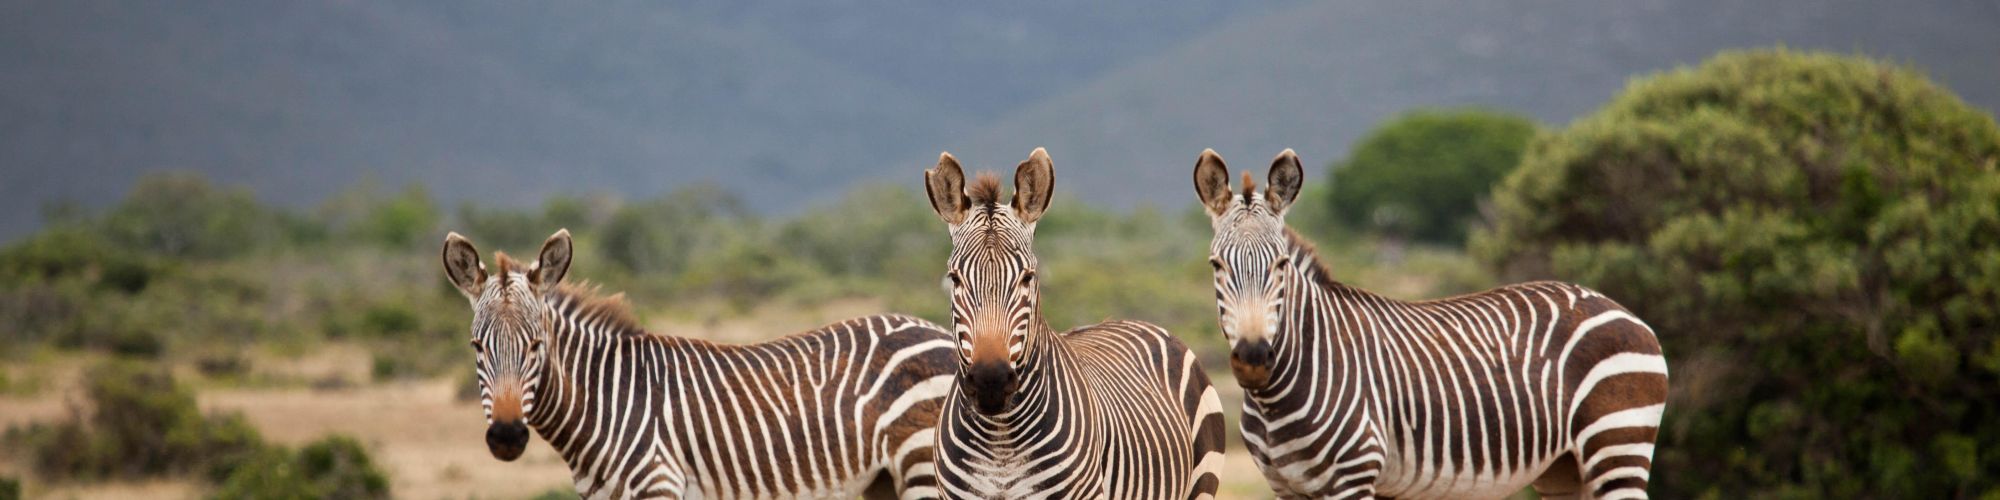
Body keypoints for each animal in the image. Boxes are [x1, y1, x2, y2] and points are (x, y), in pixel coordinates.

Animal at [441, 229, 960, 499]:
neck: (607, 402)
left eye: (536, 346)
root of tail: (938, 332)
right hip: (883, 483)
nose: (507, 438)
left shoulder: (660, 483)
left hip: (919, 467)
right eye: (476, 346)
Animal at [1192, 149, 1669, 500]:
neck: (1275, 398)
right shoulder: (1286, 488)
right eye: (1216, 265)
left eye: (1281, 266)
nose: (1254, 358)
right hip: (1565, 470)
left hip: (1617, 442)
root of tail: (1621, 309)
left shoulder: (1353, 477)